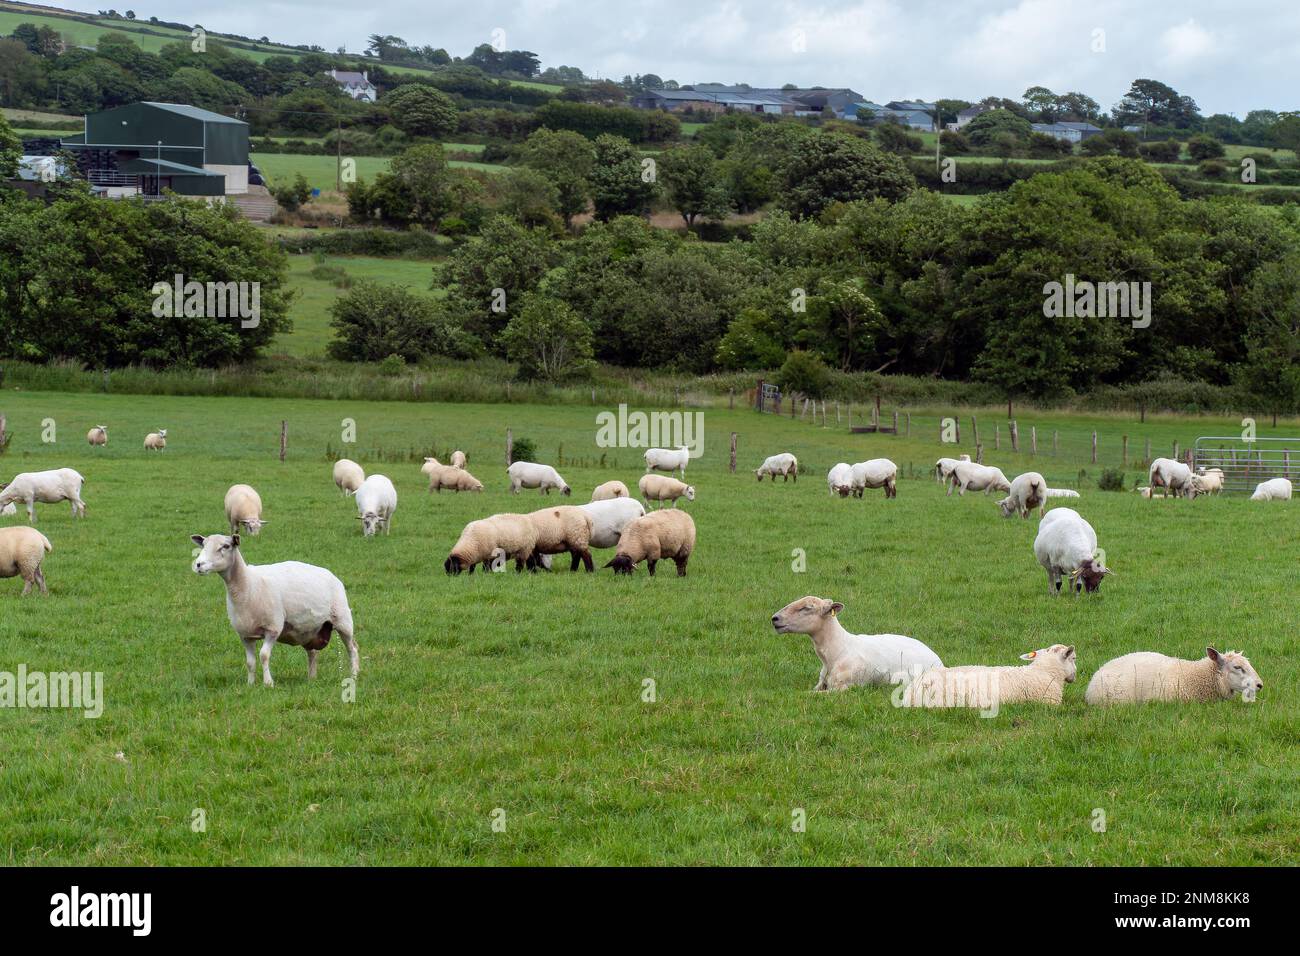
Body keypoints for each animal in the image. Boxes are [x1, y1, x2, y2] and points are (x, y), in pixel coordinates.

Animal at [191, 533, 358, 687]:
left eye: (225, 546)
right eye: (203, 545)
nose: (198, 564)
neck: (248, 585)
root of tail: (331, 575)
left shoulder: (273, 629)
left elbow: (264, 655)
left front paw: (268, 683)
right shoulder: (245, 635)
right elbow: (250, 662)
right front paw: (250, 684)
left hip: (343, 620)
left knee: (352, 648)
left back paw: (354, 676)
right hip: (309, 630)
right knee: (312, 652)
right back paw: (311, 679)